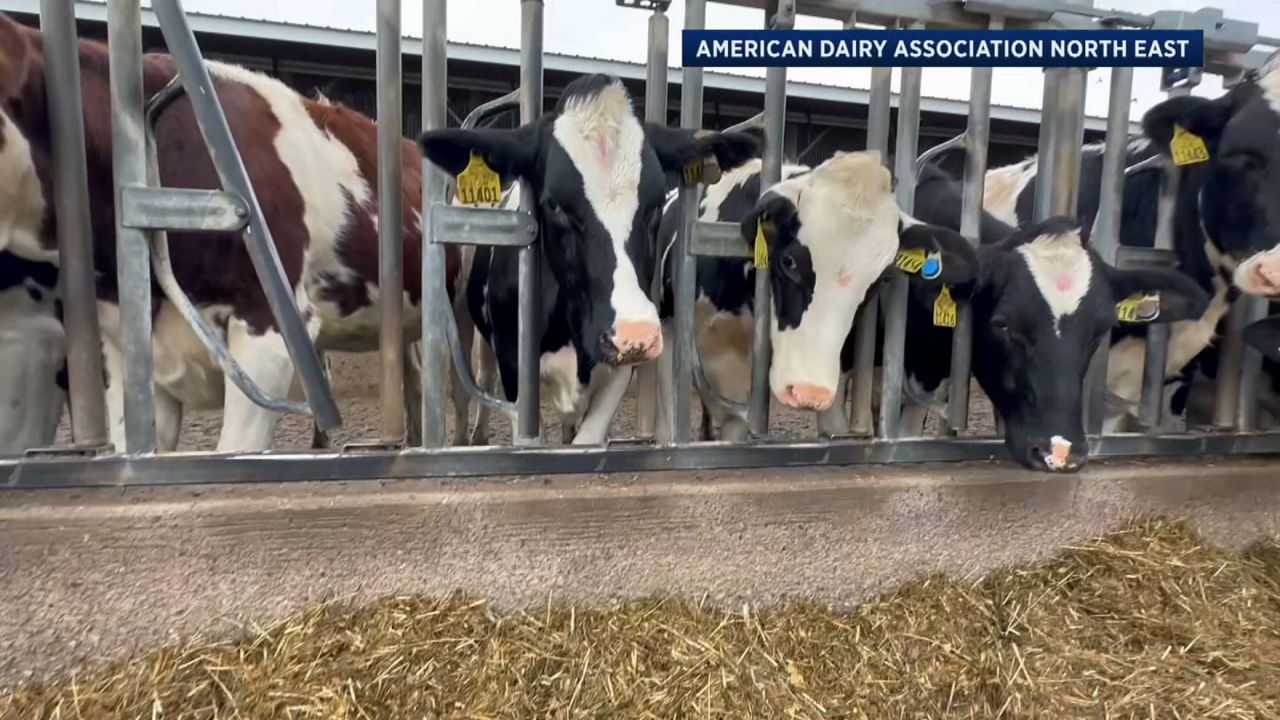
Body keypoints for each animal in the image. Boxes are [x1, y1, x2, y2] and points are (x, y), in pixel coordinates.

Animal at [417, 74, 757, 443]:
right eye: (554, 204)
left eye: (655, 204)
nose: (635, 332)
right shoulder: (513, 363)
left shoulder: (618, 368)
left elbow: (588, 438)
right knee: (482, 373)